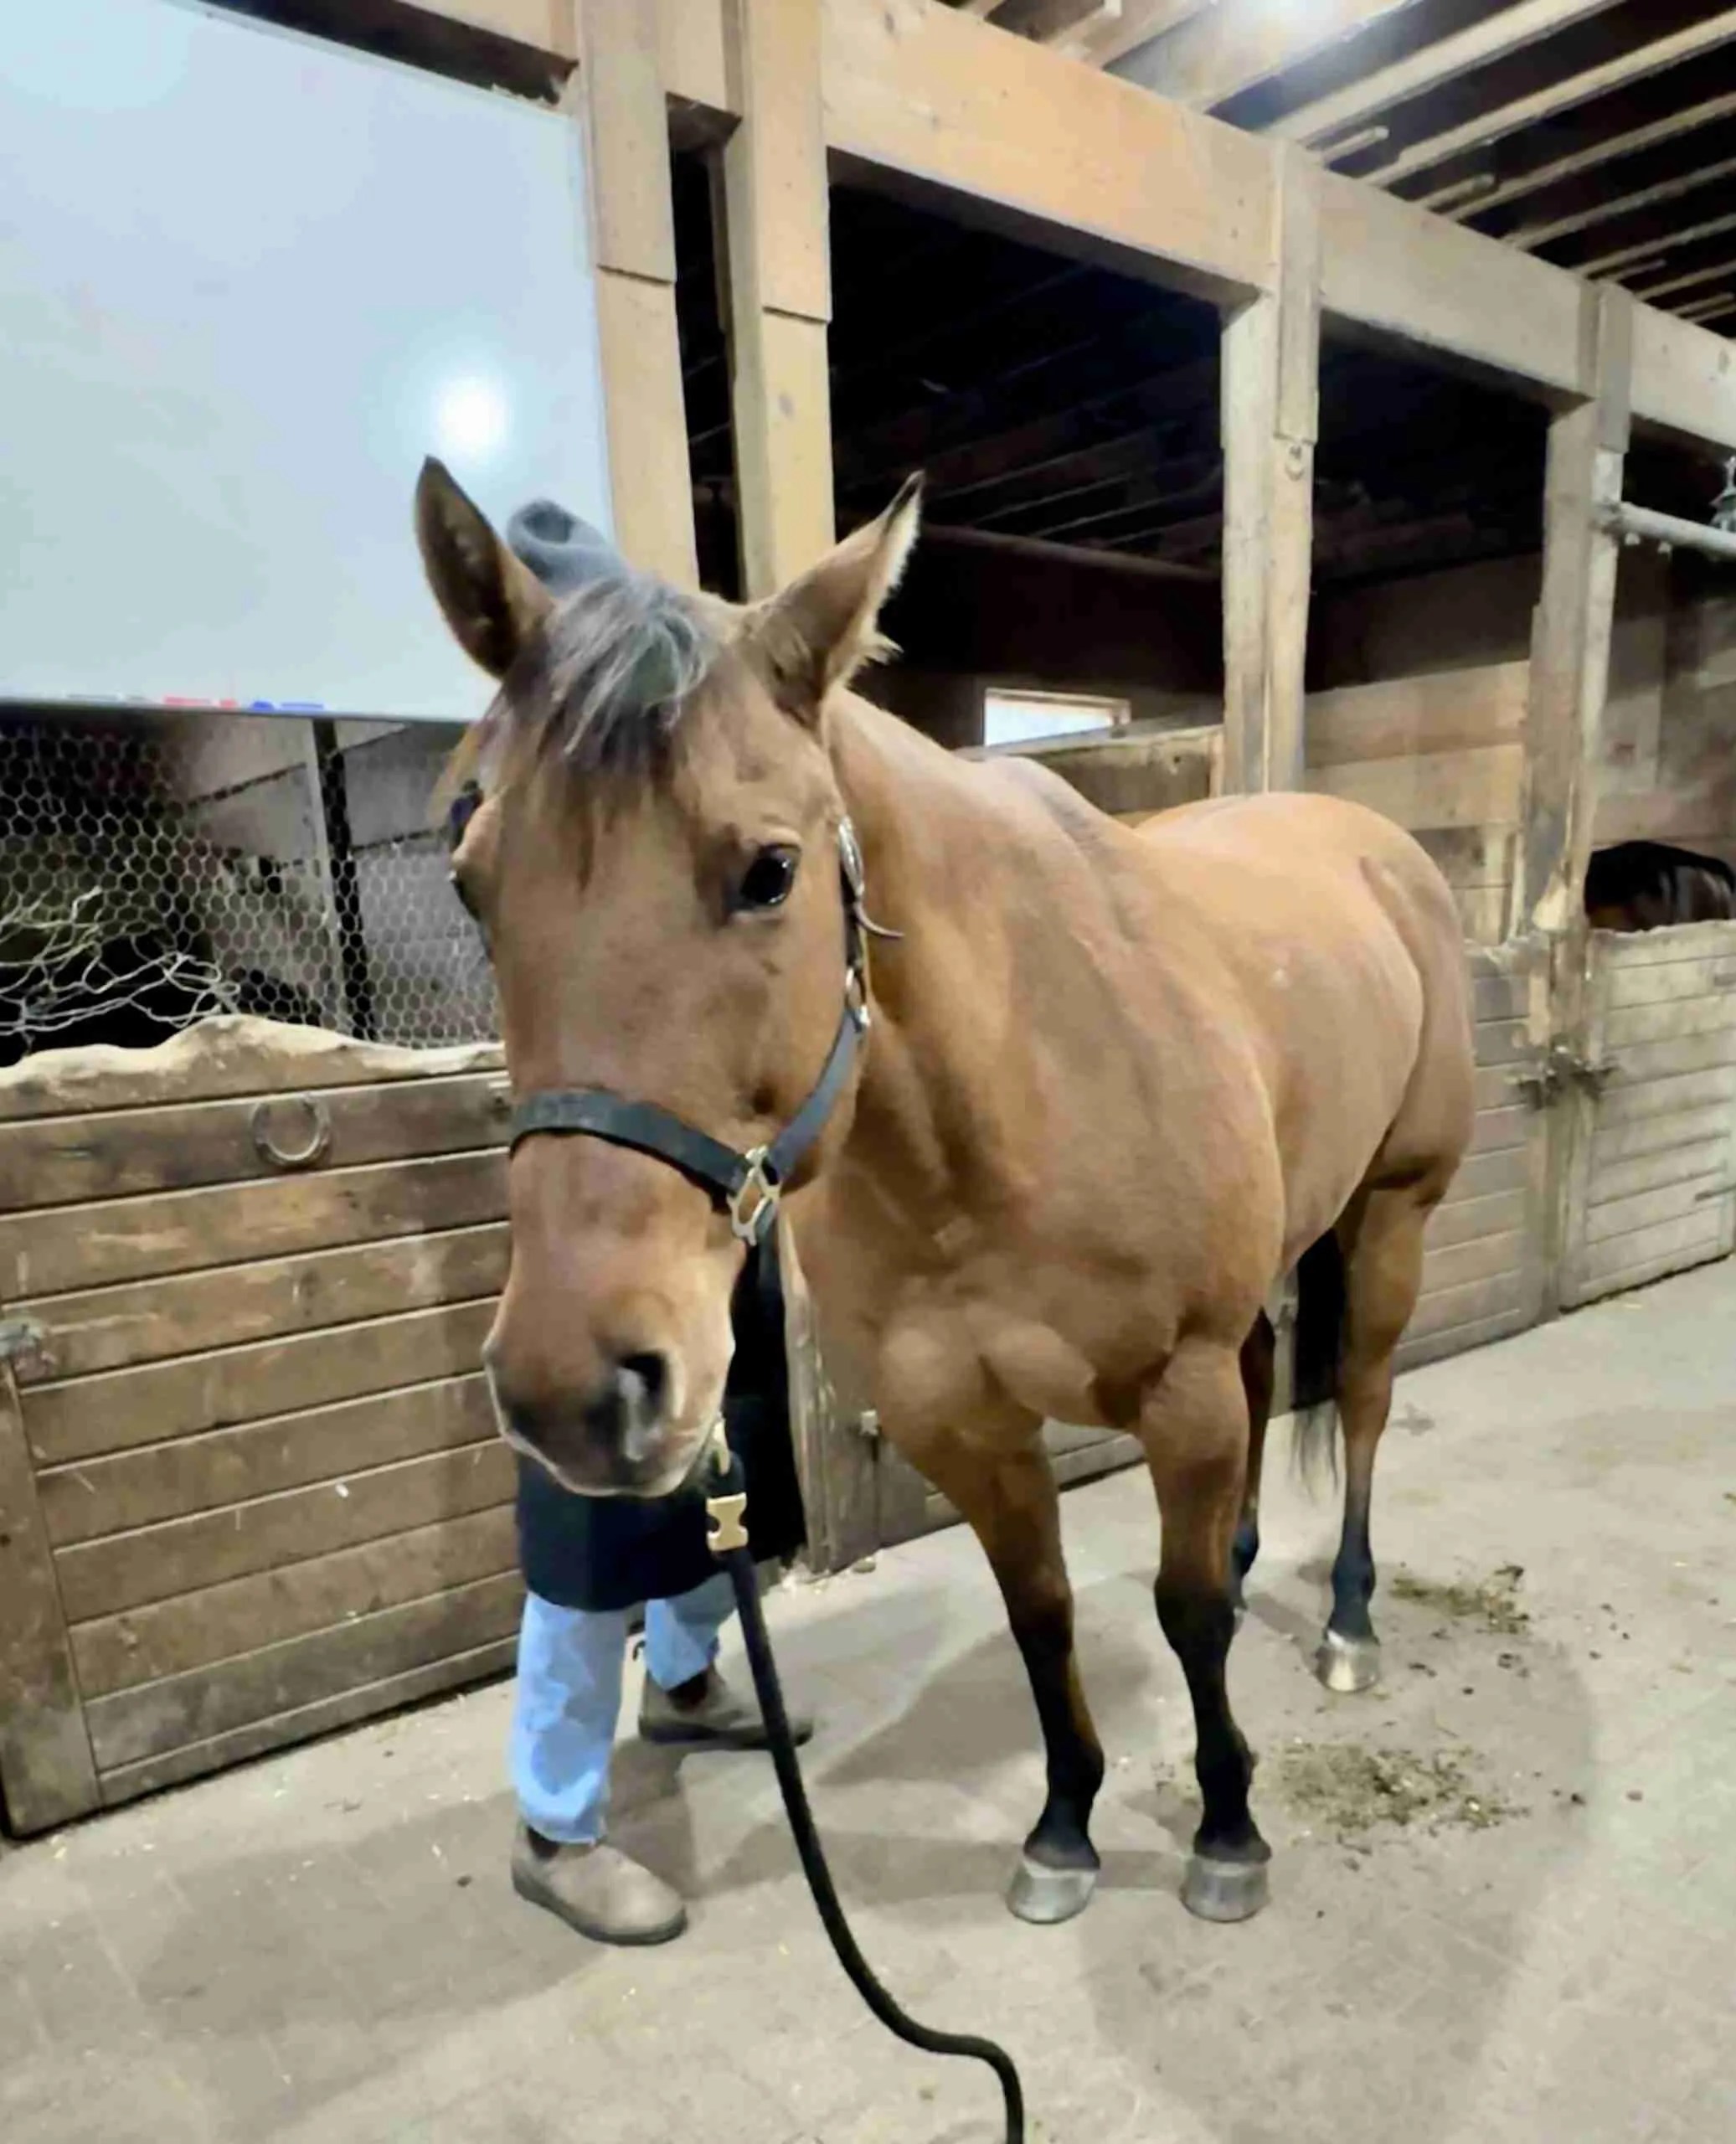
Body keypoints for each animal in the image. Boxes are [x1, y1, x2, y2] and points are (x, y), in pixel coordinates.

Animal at [414, 458, 1475, 1927]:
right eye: (472, 884)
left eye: (771, 871)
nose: (573, 1388)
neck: (1004, 1100)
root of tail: (1376, 845)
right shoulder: (960, 1424)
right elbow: (1042, 1616)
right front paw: (1065, 1828)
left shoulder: (1178, 1390)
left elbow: (1186, 1613)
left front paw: (1226, 1831)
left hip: (1391, 1220)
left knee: (1362, 1404)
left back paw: (1349, 1624)